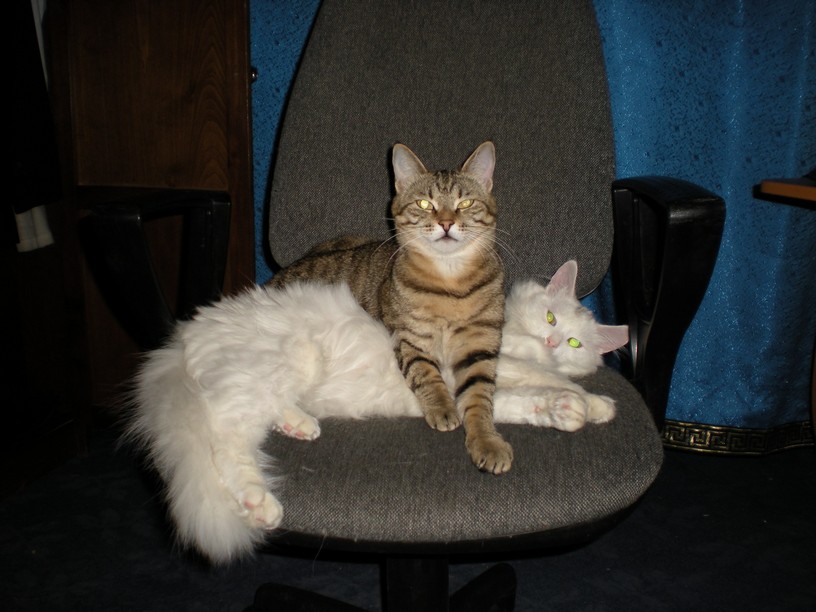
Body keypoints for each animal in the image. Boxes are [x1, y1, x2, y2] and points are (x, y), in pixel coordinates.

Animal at [127, 262, 627, 564]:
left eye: (574, 342)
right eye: (551, 319)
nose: (552, 341)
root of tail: (181, 338)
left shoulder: (478, 391)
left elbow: (518, 405)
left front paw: (573, 409)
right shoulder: (490, 366)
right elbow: (543, 380)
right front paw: (590, 402)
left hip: (274, 379)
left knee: (250, 422)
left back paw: (298, 428)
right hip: (280, 365)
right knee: (224, 435)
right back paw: (260, 502)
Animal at [268, 141, 512, 475]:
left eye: (465, 203)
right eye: (424, 203)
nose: (446, 223)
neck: (450, 283)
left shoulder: (479, 346)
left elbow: (479, 398)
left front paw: (487, 441)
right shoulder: (409, 339)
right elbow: (427, 375)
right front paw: (443, 407)